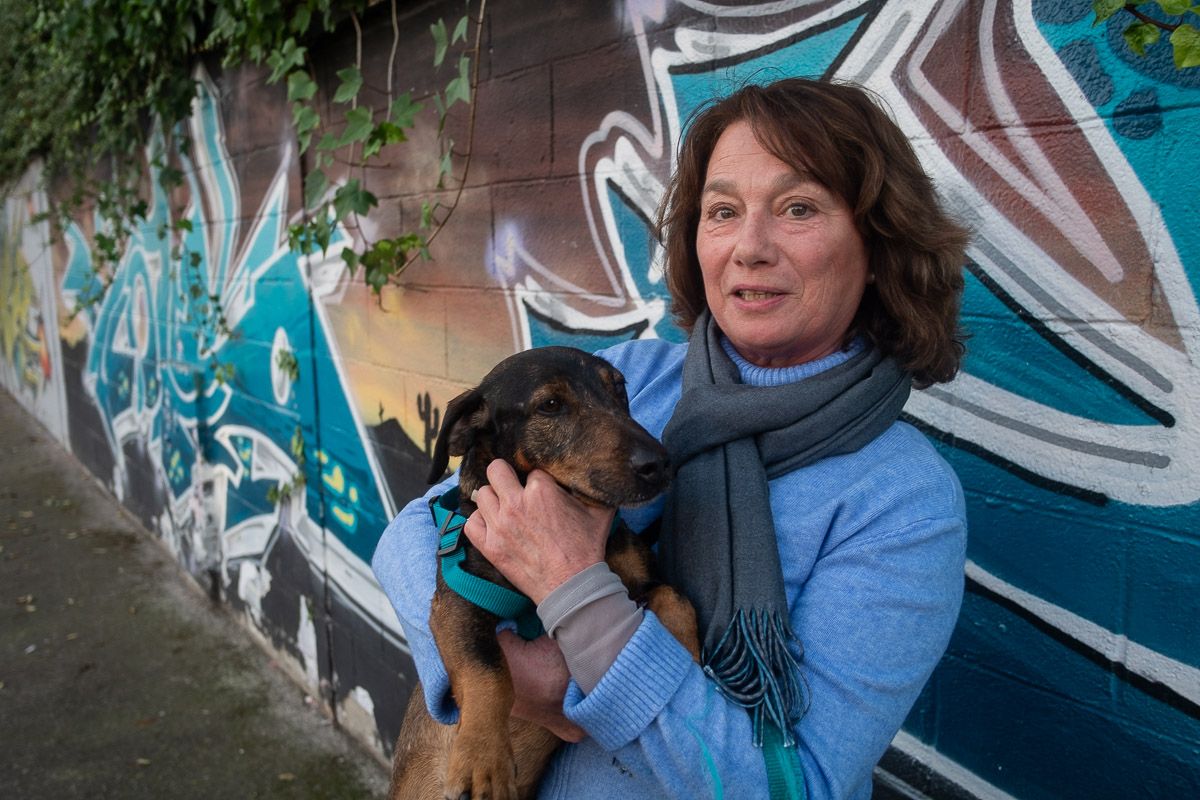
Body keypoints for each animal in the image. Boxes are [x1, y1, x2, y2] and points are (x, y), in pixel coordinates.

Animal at [388, 347, 700, 800]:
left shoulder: (643, 581)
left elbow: (675, 598)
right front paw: (484, 759)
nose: (660, 464)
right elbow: (489, 672)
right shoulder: (458, 602)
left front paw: (688, 652)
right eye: (550, 405)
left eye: (618, 389)